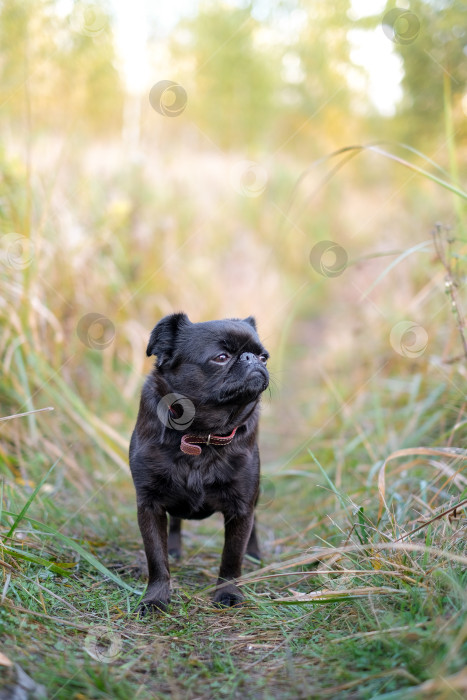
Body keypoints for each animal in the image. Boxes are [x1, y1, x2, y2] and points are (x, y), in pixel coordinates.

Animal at [130, 314, 270, 612]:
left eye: (264, 357)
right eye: (221, 357)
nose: (252, 359)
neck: (201, 434)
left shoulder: (241, 507)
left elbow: (231, 558)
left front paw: (228, 593)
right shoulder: (149, 505)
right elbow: (156, 558)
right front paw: (156, 598)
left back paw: (254, 555)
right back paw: (175, 548)